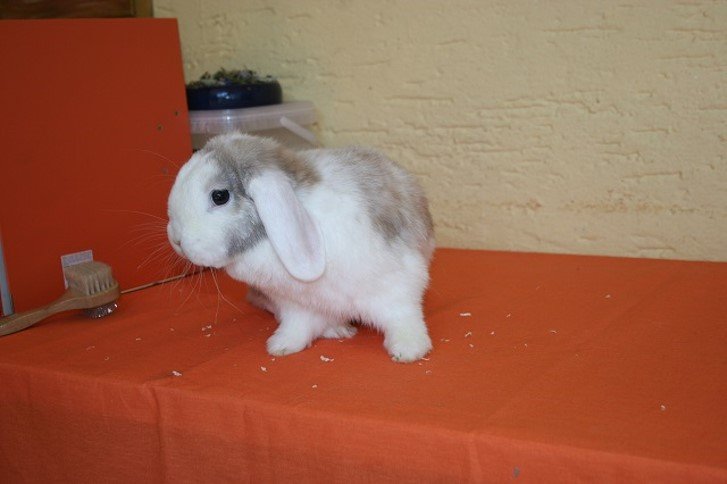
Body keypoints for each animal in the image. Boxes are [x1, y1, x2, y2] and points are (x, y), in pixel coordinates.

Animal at [167, 133, 435, 362]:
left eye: (220, 196)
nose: (176, 239)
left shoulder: (397, 286)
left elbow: (402, 317)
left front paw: (408, 350)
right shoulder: (296, 304)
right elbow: (298, 326)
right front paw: (281, 346)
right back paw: (337, 330)